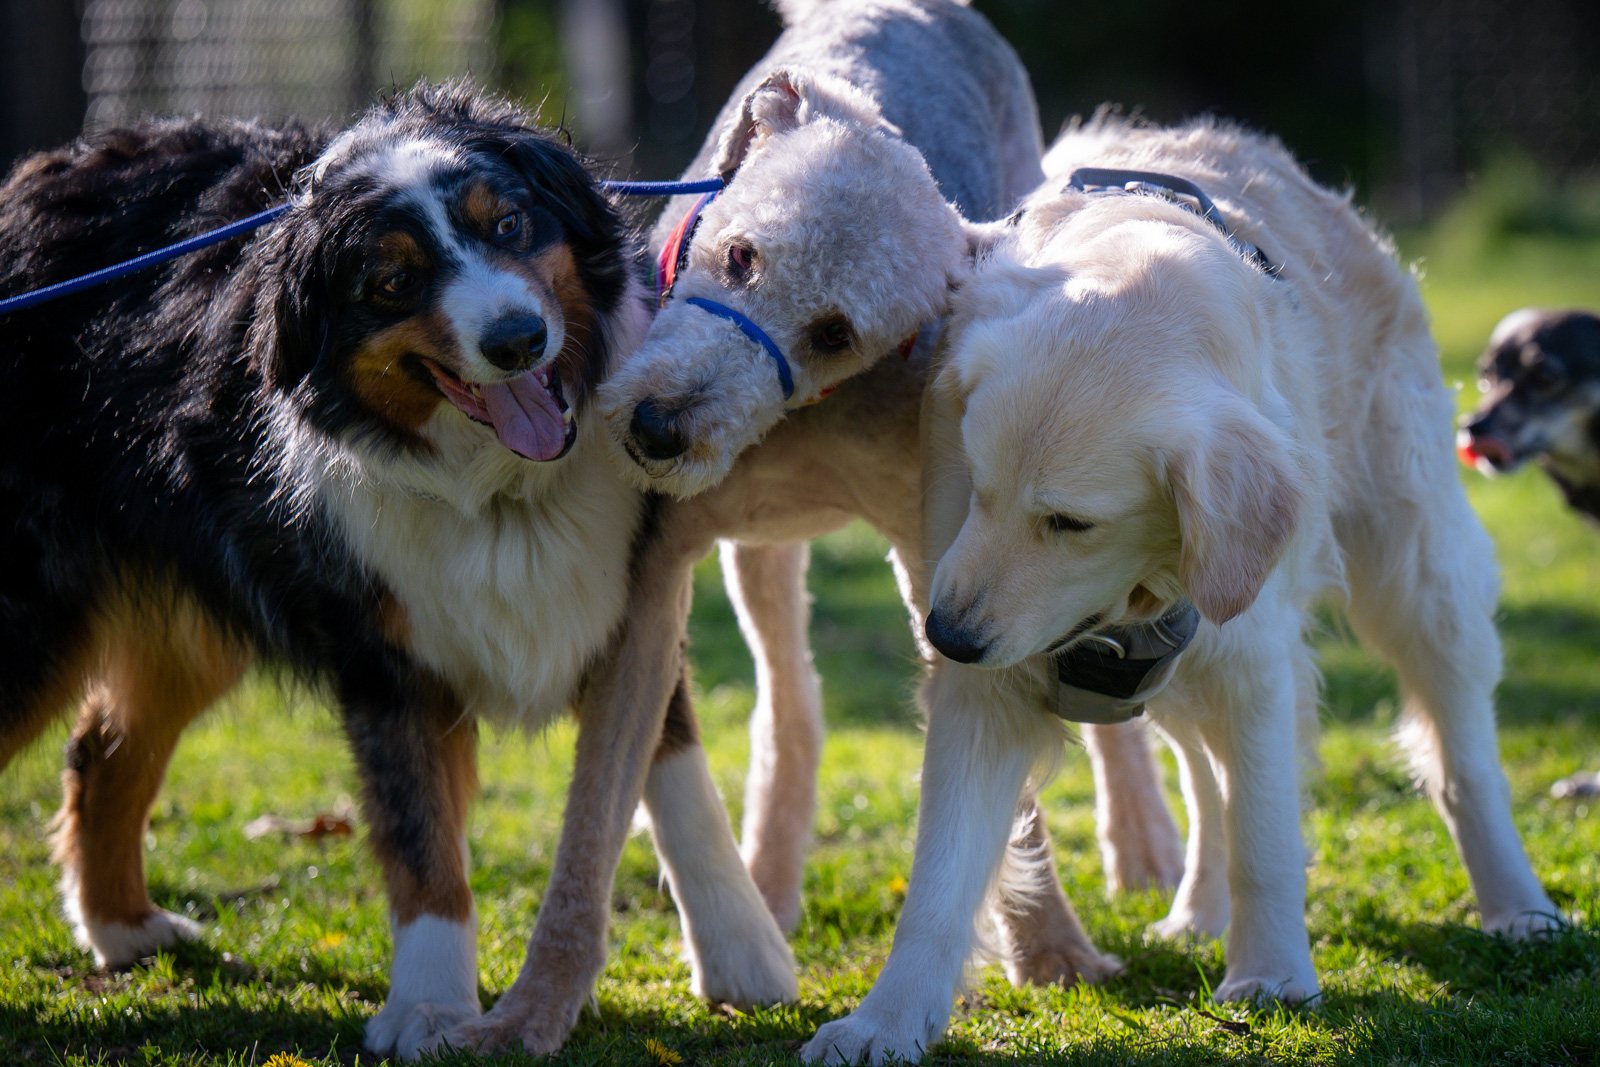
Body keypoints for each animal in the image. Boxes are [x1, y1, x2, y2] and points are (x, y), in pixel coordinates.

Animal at [806, 112, 1555, 1062]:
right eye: (977, 486)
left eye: (1070, 521)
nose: (948, 637)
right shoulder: (990, 687)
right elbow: (939, 875)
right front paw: (886, 1020)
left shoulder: (1251, 662)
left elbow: (1264, 836)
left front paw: (1271, 976)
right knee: (1205, 776)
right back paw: (1200, 912)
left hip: (1418, 574)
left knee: (1463, 760)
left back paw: (1518, 905)